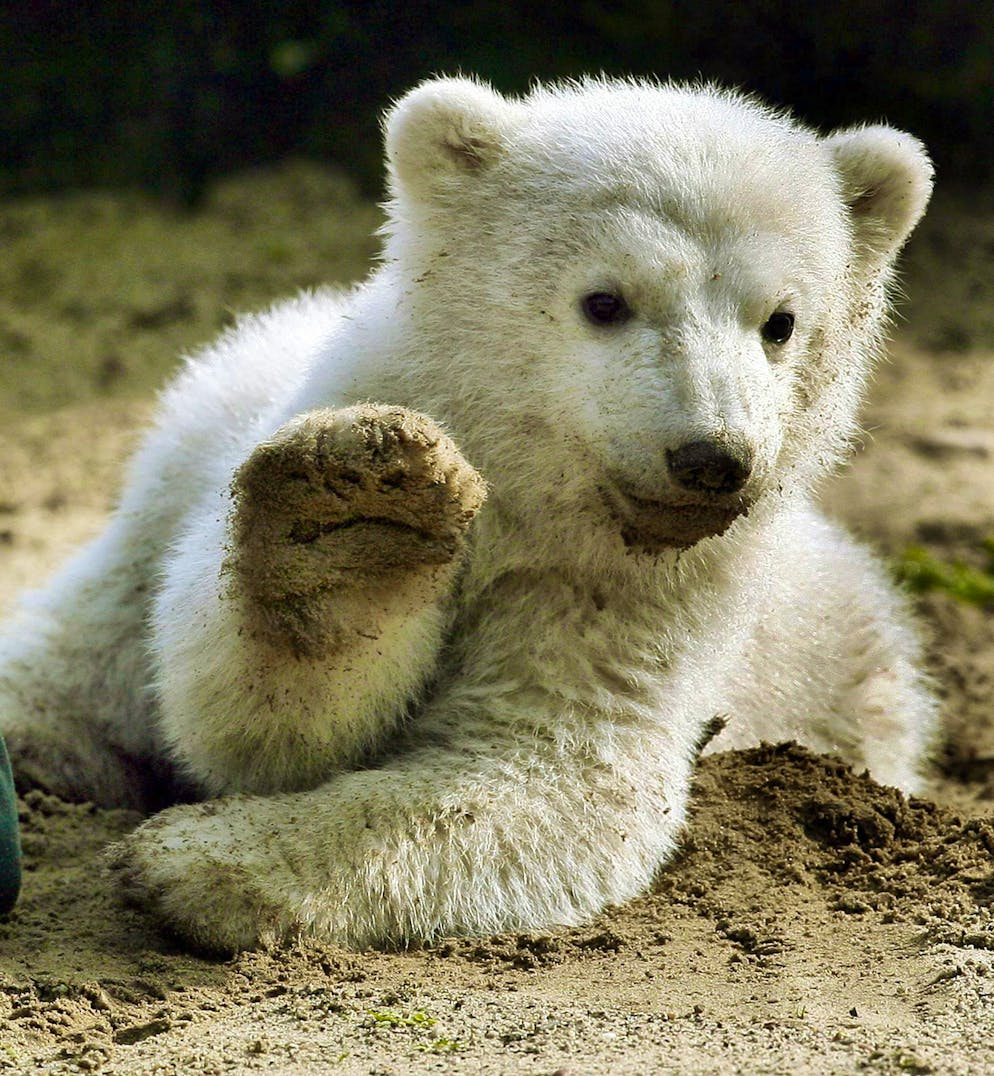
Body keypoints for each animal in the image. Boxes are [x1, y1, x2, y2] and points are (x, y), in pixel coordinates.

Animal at [0, 76, 935, 953]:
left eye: (782, 322)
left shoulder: (628, 593)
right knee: (92, 645)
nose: (711, 458)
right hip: (177, 458)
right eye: (604, 301)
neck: (527, 501)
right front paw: (346, 531)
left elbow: (553, 769)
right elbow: (243, 701)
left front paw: (198, 859)